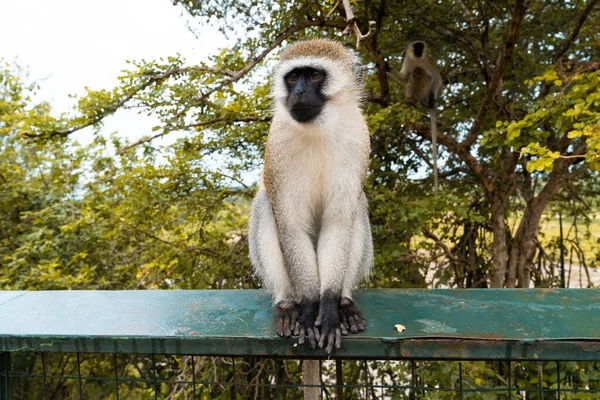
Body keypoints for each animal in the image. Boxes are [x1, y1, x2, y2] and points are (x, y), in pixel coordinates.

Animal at [247, 39, 370, 398]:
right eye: (293, 77)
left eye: (314, 75)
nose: (298, 92)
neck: (319, 128)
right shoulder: (278, 144)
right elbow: (290, 226)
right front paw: (309, 308)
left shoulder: (358, 138)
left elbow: (339, 223)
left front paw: (327, 308)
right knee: (266, 204)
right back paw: (289, 306)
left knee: (357, 206)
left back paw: (344, 303)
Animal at [392, 41, 442, 195]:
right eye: (416, 47)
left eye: (421, 47)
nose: (419, 51)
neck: (417, 59)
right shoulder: (408, 60)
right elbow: (404, 77)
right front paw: (386, 66)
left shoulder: (426, 61)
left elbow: (436, 77)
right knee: (414, 74)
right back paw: (410, 101)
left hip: (425, 93)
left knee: (421, 74)